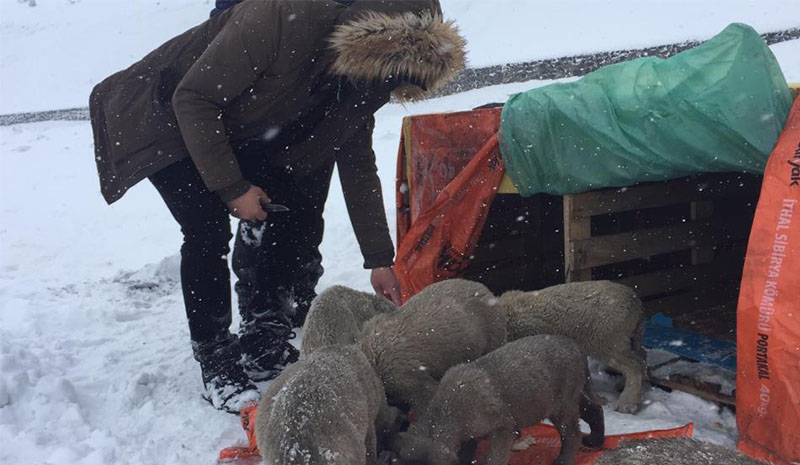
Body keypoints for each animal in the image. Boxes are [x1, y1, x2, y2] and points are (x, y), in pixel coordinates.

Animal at [390, 334, 604, 464]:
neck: (446, 411)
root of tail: (576, 347)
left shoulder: (503, 429)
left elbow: (494, 458)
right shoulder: (469, 436)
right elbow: (467, 454)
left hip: (561, 406)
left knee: (573, 435)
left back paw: (563, 460)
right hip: (567, 399)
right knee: (594, 409)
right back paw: (595, 440)